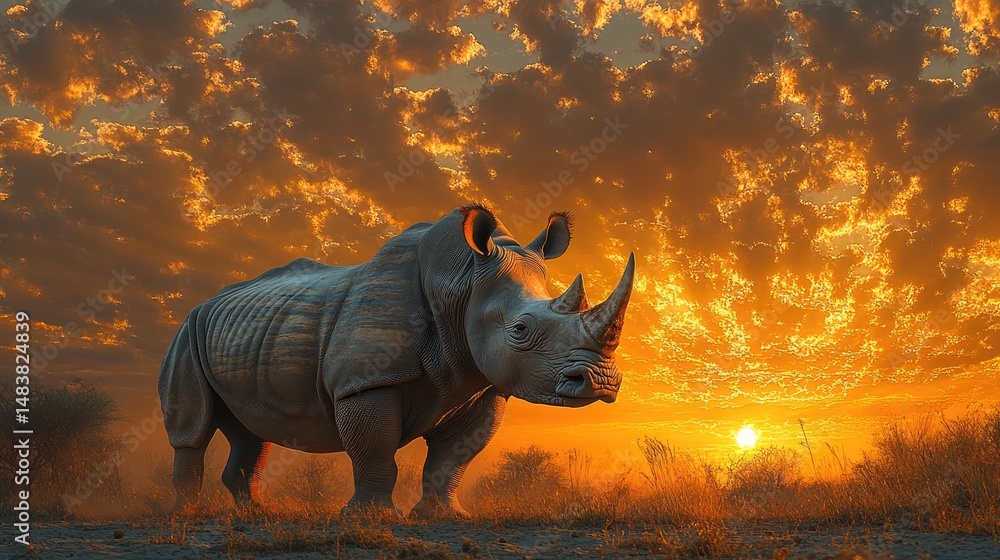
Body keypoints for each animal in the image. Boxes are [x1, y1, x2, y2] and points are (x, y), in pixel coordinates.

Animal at [159, 204, 635, 516]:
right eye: (519, 330)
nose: (600, 382)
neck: (460, 285)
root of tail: (206, 303)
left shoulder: (482, 385)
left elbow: (453, 458)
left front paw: (442, 518)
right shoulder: (366, 381)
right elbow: (376, 451)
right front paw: (369, 518)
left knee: (252, 431)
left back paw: (257, 515)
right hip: (186, 334)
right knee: (194, 427)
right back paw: (187, 516)